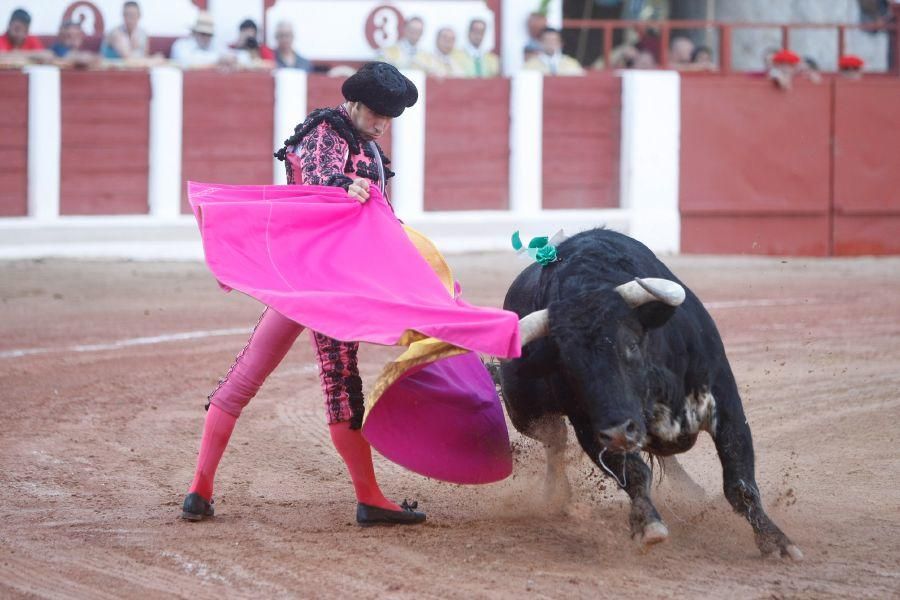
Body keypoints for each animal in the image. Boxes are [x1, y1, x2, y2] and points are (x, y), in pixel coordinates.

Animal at [500, 229, 800, 556]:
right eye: (567, 365)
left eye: (631, 344)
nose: (620, 431)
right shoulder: (592, 430)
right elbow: (634, 474)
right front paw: (647, 524)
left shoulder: (726, 400)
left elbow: (739, 480)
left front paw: (776, 541)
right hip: (527, 415)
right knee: (554, 443)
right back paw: (555, 497)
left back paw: (689, 491)